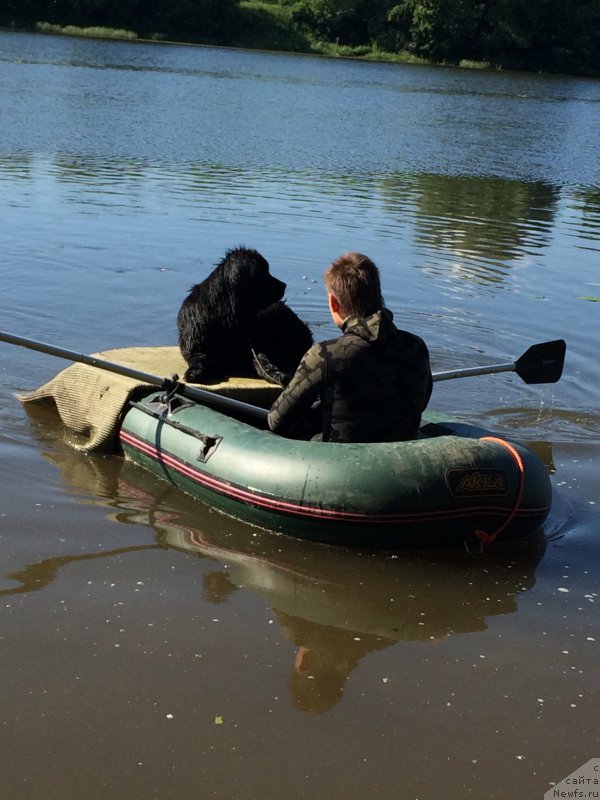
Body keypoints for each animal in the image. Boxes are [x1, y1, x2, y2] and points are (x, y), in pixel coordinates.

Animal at [177, 248, 314, 386]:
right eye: (264, 273)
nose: (284, 285)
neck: (227, 314)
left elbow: (261, 359)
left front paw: (274, 373)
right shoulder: (196, 343)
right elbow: (198, 358)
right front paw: (194, 372)